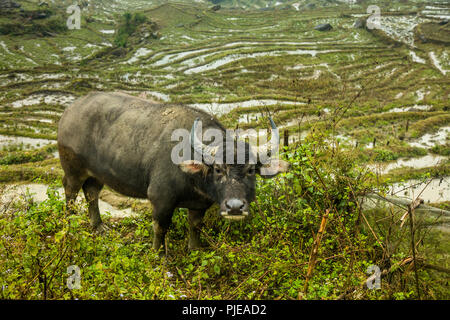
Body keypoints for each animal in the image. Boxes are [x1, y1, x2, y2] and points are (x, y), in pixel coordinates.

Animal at [57, 91, 288, 251]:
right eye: (218, 169)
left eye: (250, 170)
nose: (235, 207)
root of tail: (70, 111)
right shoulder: (161, 199)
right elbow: (160, 228)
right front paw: (159, 255)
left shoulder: (199, 204)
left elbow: (195, 226)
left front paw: (195, 249)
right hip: (72, 169)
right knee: (70, 193)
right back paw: (69, 226)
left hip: (97, 173)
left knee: (92, 192)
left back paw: (98, 227)